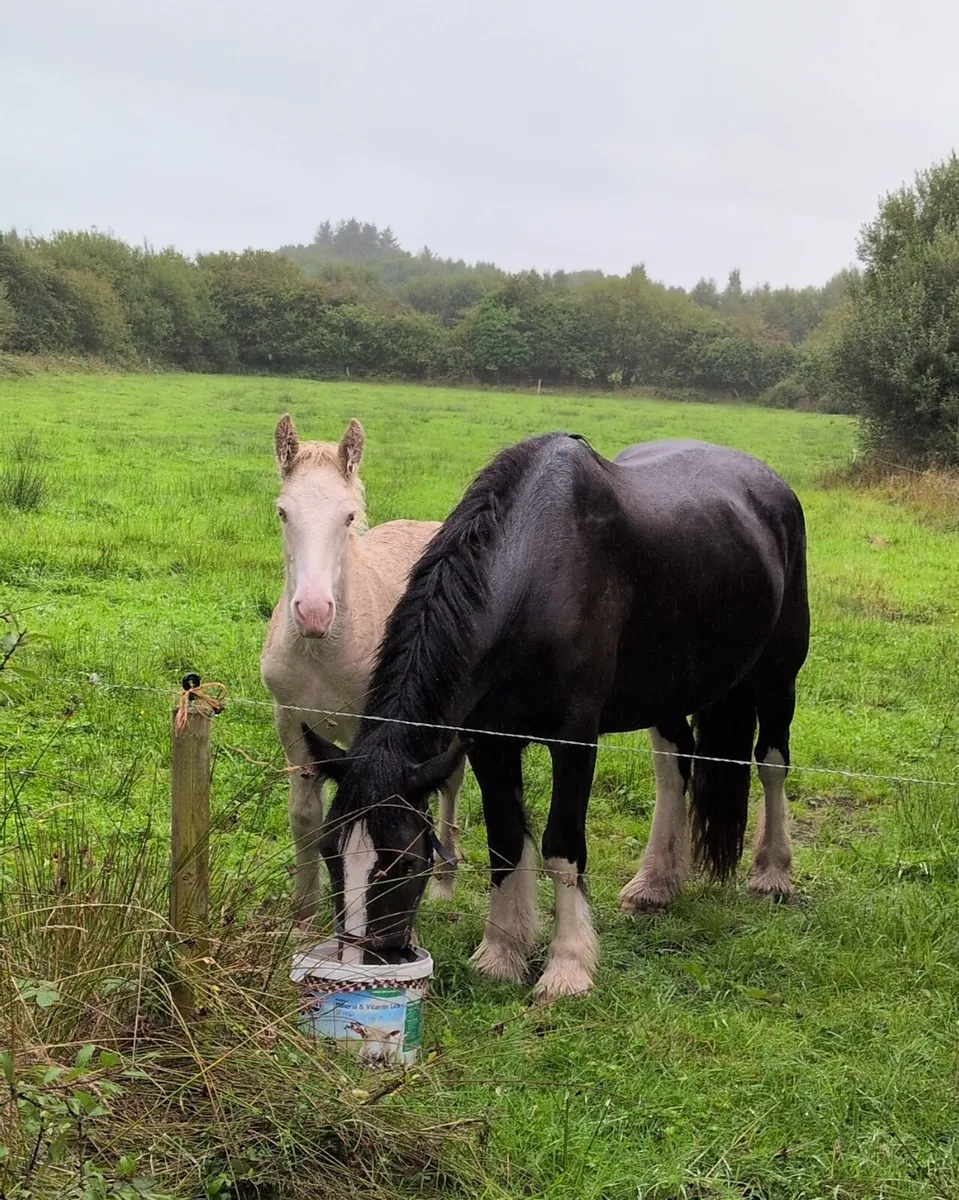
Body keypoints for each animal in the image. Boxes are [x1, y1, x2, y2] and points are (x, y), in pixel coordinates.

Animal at [259, 414, 464, 919]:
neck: (322, 654)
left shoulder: (368, 730)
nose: (314, 613)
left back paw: (446, 880)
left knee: (451, 781)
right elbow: (305, 816)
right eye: (283, 513)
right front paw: (304, 912)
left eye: (348, 516)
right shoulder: (290, 720)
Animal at [304, 433, 809, 999]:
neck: (539, 575)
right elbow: (506, 842)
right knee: (673, 767)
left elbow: (561, 846)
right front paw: (501, 954)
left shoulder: (574, 742)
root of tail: (769, 483)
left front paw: (567, 968)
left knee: (772, 762)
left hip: (778, 674)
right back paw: (656, 884)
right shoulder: (490, 740)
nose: (359, 971)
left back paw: (772, 874)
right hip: (668, 692)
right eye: (329, 852)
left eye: (407, 861)